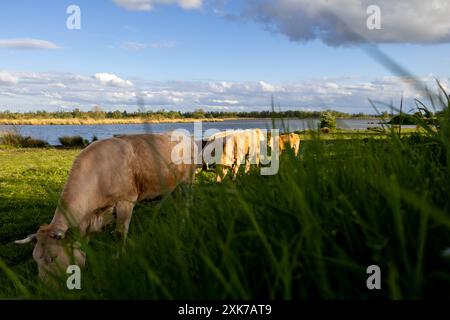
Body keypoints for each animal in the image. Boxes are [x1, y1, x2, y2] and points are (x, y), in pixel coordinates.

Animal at [15, 132, 197, 280]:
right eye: (35, 259)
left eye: (53, 258)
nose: (45, 288)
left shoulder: (126, 202)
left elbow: (119, 234)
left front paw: (118, 257)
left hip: (188, 180)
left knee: (187, 204)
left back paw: (184, 224)